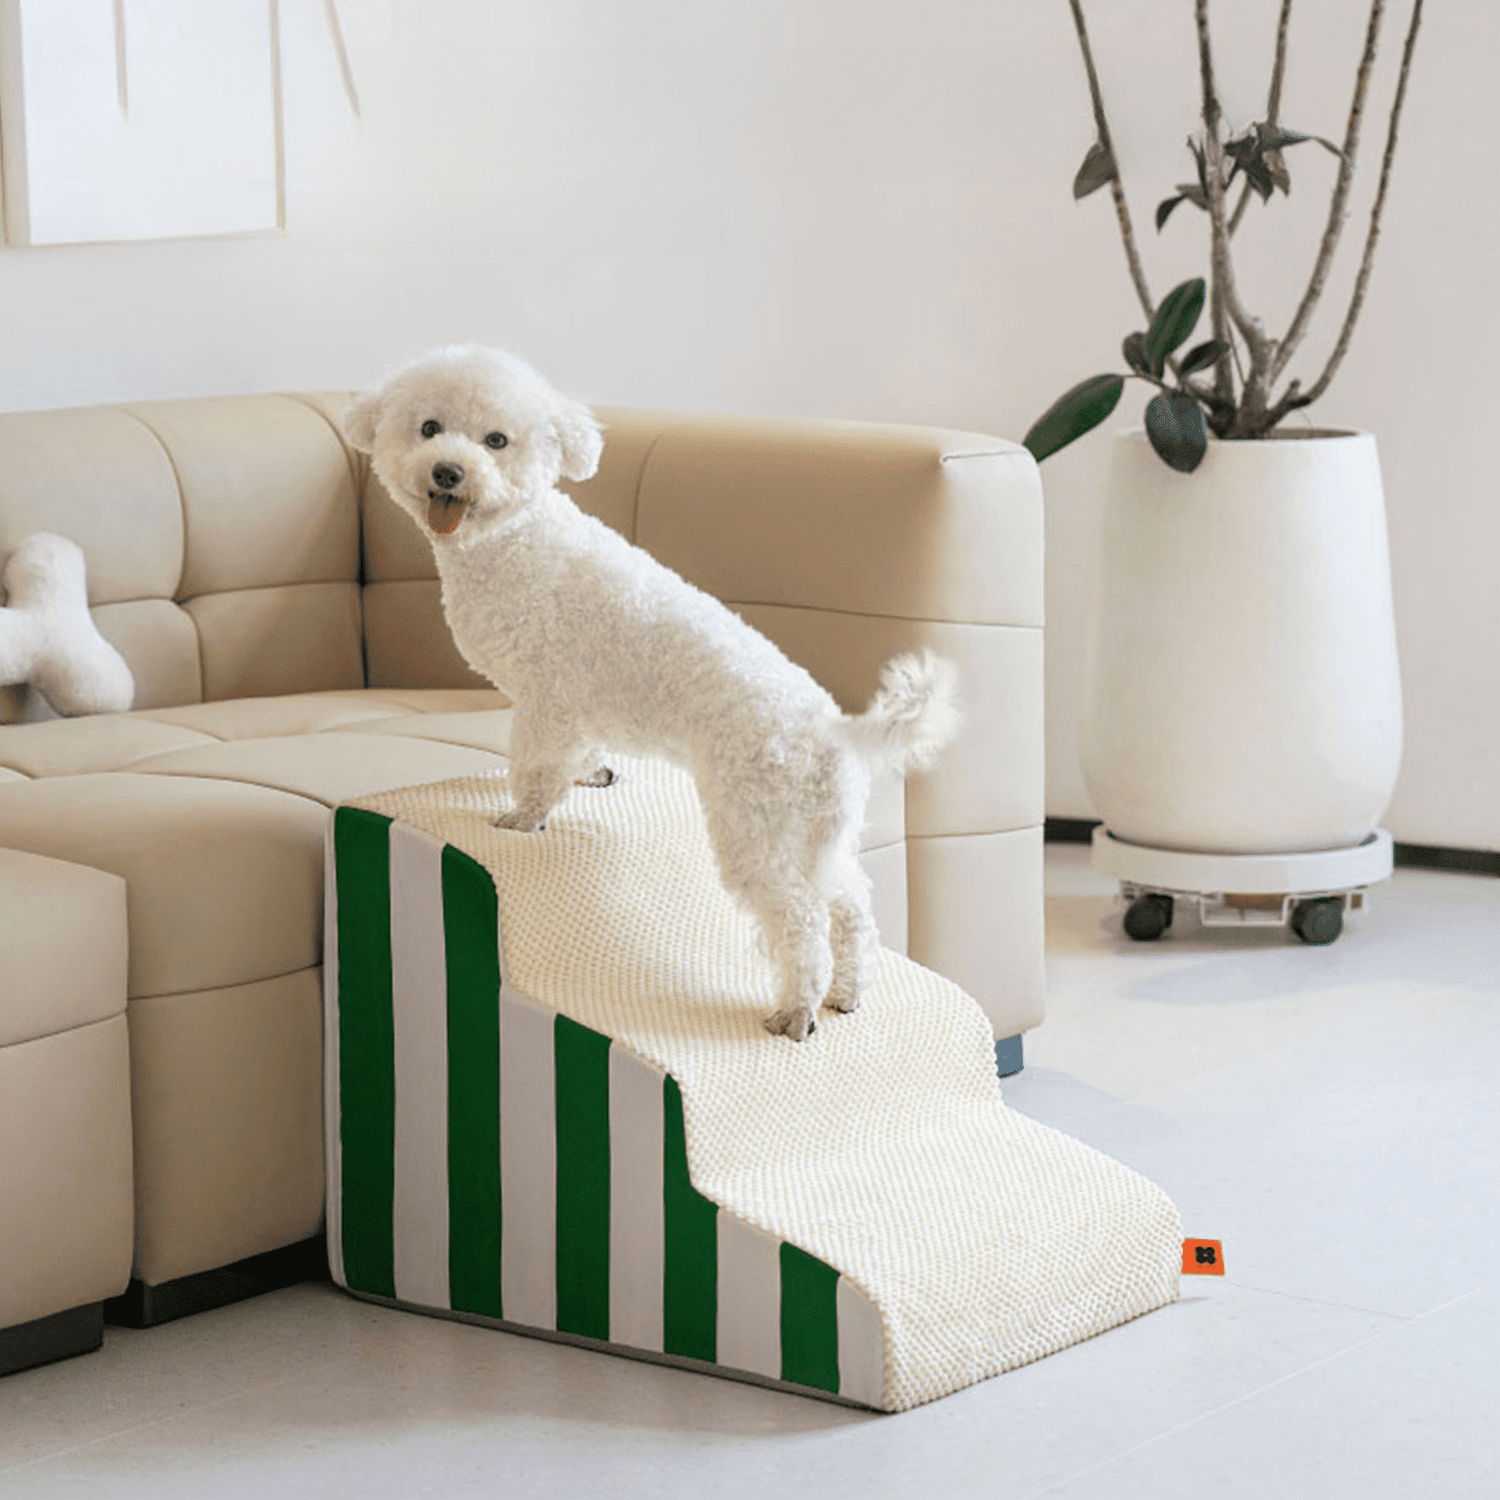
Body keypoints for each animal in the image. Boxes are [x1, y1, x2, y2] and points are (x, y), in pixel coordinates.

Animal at [343, 345, 954, 1038]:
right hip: (818, 832)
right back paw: (846, 993)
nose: (448, 470)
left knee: (801, 920)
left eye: (496, 441)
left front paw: (522, 820)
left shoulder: (546, 695)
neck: (512, 538)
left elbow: (536, 768)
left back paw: (795, 1009)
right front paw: (591, 775)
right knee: (851, 906)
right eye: (429, 428)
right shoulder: (571, 704)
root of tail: (832, 728)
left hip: (757, 827)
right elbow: (577, 754)